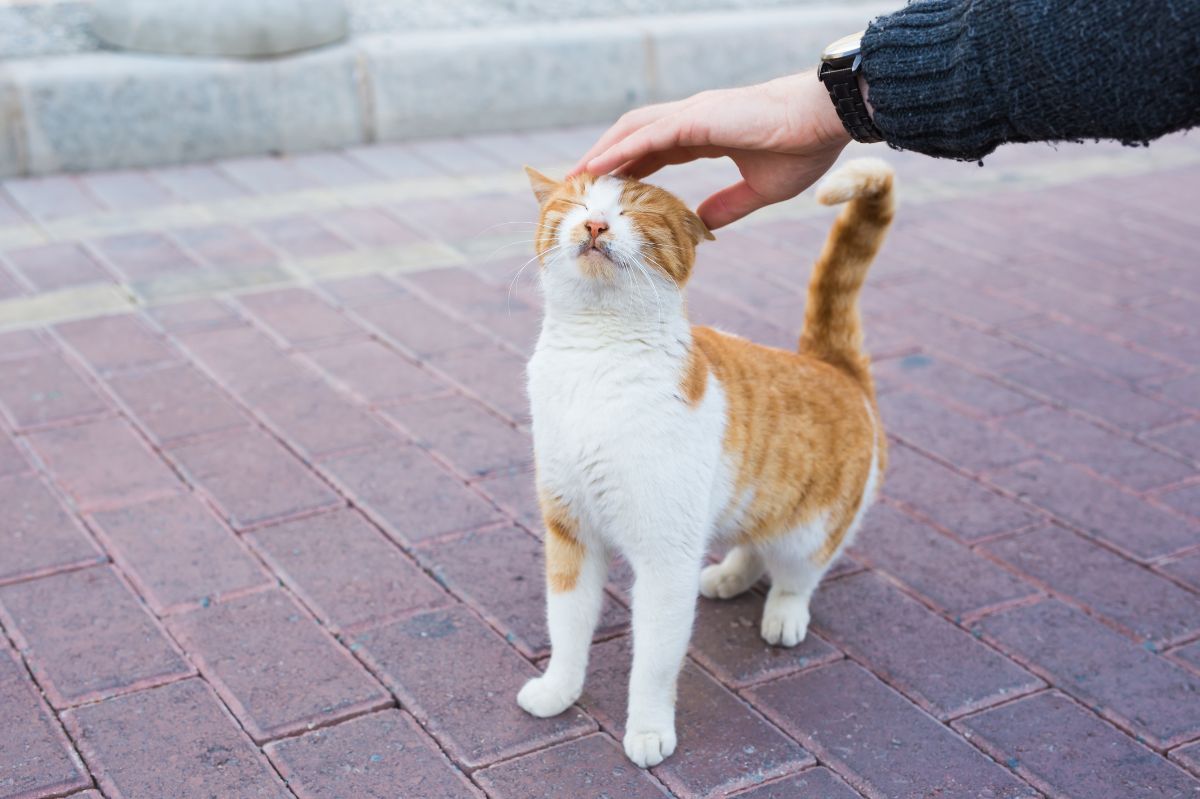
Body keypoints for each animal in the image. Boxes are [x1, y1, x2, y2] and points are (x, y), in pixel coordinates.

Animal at [520, 157, 897, 767]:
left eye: (635, 211)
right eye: (576, 205)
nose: (596, 224)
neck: (595, 360)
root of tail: (830, 363)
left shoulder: (666, 557)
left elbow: (653, 659)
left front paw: (649, 730)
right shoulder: (570, 531)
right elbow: (567, 625)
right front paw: (560, 690)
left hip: (813, 529)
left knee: (797, 573)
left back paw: (783, 615)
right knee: (754, 542)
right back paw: (728, 576)